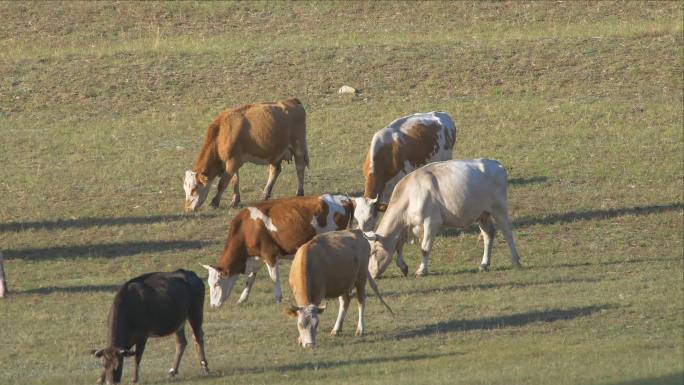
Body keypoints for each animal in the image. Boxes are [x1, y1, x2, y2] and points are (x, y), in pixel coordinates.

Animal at [200, 194, 352, 308]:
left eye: (217, 283)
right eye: (209, 284)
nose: (213, 305)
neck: (246, 229)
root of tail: (343, 198)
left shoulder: (270, 254)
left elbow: (274, 277)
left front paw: (278, 298)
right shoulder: (257, 257)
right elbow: (250, 280)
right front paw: (242, 299)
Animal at [366, 158, 520, 278]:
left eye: (373, 252)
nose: (371, 275)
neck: (409, 196)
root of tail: (496, 164)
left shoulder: (431, 221)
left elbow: (425, 248)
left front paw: (421, 270)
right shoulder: (407, 227)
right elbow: (399, 246)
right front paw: (403, 266)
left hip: (499, 209)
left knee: (507, 232)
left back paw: (515, 261)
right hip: (482, 213)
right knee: (488, 235)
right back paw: (484, 264)